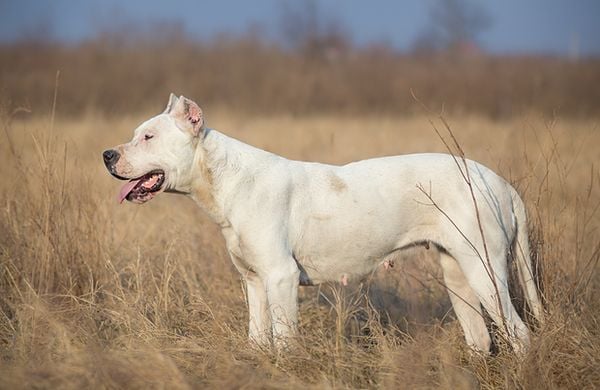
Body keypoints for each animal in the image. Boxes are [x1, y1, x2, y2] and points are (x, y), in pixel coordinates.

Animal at [103, 94, 544, 354]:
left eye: (148, 137)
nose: (107, 155)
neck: (225, 178)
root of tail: (499, 182)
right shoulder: (254, 283)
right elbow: (258, 338)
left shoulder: (280, 278)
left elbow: (283, 341)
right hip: (459, 277)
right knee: (480, 337)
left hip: (484, 272)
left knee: (519, 333)